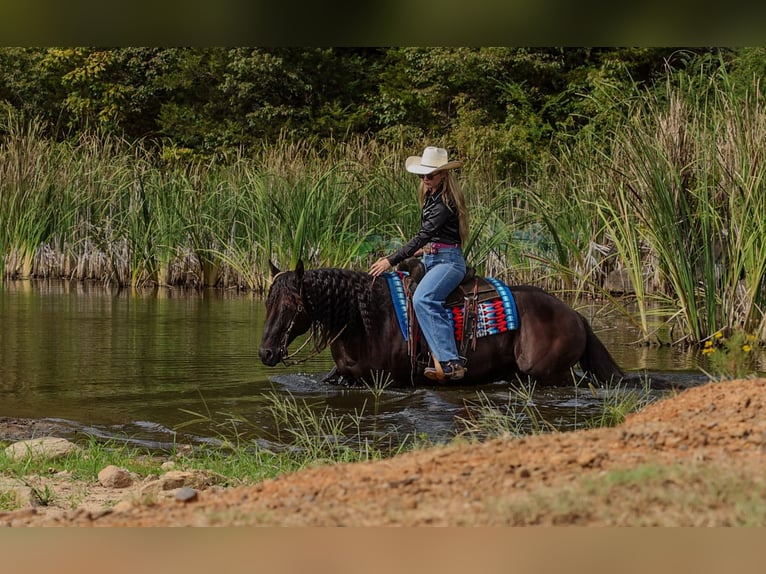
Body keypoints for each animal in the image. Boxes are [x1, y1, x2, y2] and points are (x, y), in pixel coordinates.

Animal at [258, 259, 625, 388]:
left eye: (291, 306)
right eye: (267, 302)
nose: (265, 353)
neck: (368, 321)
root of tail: (576, 315)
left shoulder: (393, 382)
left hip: (547, 372)